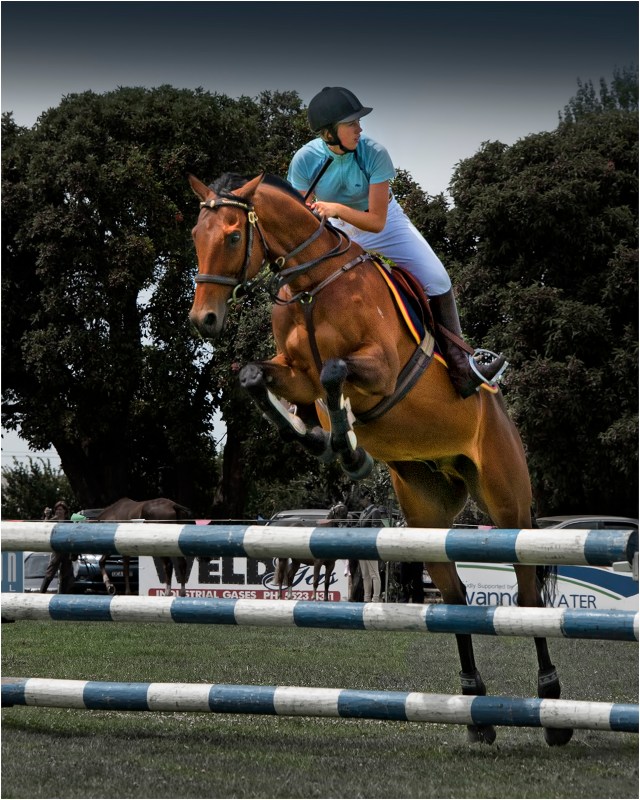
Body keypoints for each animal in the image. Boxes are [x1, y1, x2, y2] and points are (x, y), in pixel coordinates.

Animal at [187, 171, 572, 747]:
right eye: (195, 234)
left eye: (233, 236)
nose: (203, 319)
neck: (312, 287)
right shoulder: (291, 372)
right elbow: (257, 376)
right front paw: (321, 439)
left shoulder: (381, 369)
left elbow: (334, 373)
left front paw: (347, 448)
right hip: (425, 513)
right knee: (455, 598)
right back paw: (476, 710)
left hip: (508, 503)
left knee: (528, 598)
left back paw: (552, 707)